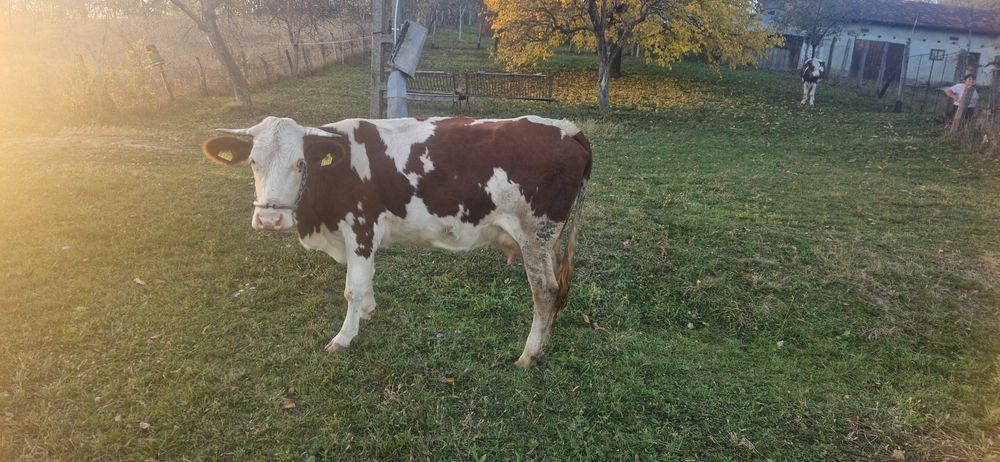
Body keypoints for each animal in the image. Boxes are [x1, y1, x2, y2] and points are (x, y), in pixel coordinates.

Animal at [201, 116, 592, 368]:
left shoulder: (360, 227)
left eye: (300, 163)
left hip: (535, 235)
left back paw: (529, 353)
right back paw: (545, 341)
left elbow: (352, 288)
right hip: (548, 241)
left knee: (544, 291)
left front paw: (345, 336)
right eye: (253, 162)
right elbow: (368, 278)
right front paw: (368, 311)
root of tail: (568, 129)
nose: (270, 220)